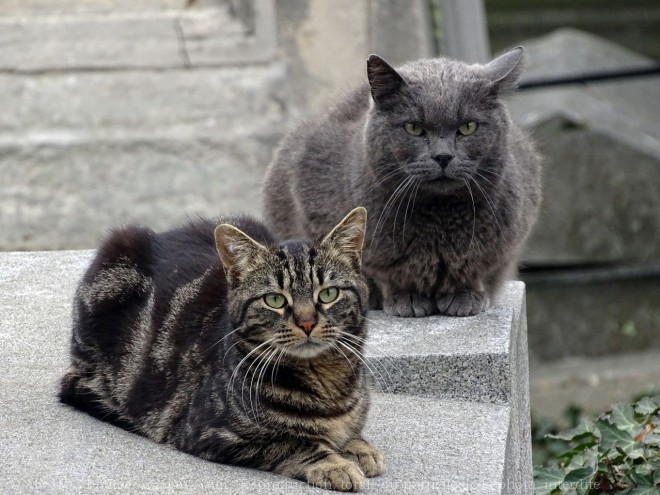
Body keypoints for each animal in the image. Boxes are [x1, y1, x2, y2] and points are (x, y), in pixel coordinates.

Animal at [60, 206, 386, 492]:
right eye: (275, 300)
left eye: (328, 294)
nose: (307, 323)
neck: (327, 384)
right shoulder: (212, 433)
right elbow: (293, 442)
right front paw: (334, 464)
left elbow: (351, 432)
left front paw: (359, 447)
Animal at [262, 47, 540, 318]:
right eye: (414, 128)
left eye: (468, 127)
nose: (443, 156)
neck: (438, 219)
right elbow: (377, 273)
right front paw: (406, 298)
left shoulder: (505, 242)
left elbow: (476, 268)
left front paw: (465, 295)